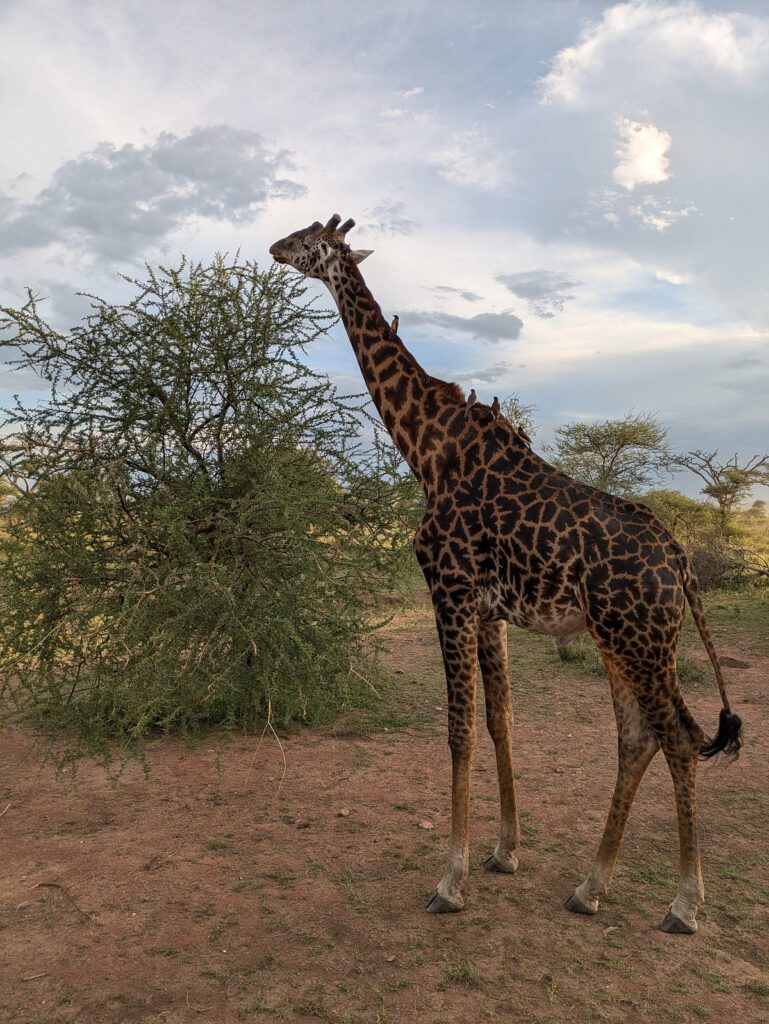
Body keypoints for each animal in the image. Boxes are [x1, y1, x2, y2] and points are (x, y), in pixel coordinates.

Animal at [269, 214, 742, 934]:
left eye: (305, 238)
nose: (272, 248)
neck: (426, 449)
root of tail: (682, 562)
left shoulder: (449, 592)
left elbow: (458, 731)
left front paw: (450, 880)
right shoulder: (488, 609)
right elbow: (501, 720)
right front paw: (503, 852)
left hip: (638, 637)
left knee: (680, 737)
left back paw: (683, 904)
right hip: (620, 638)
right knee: (637, 737)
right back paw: (588, 887)